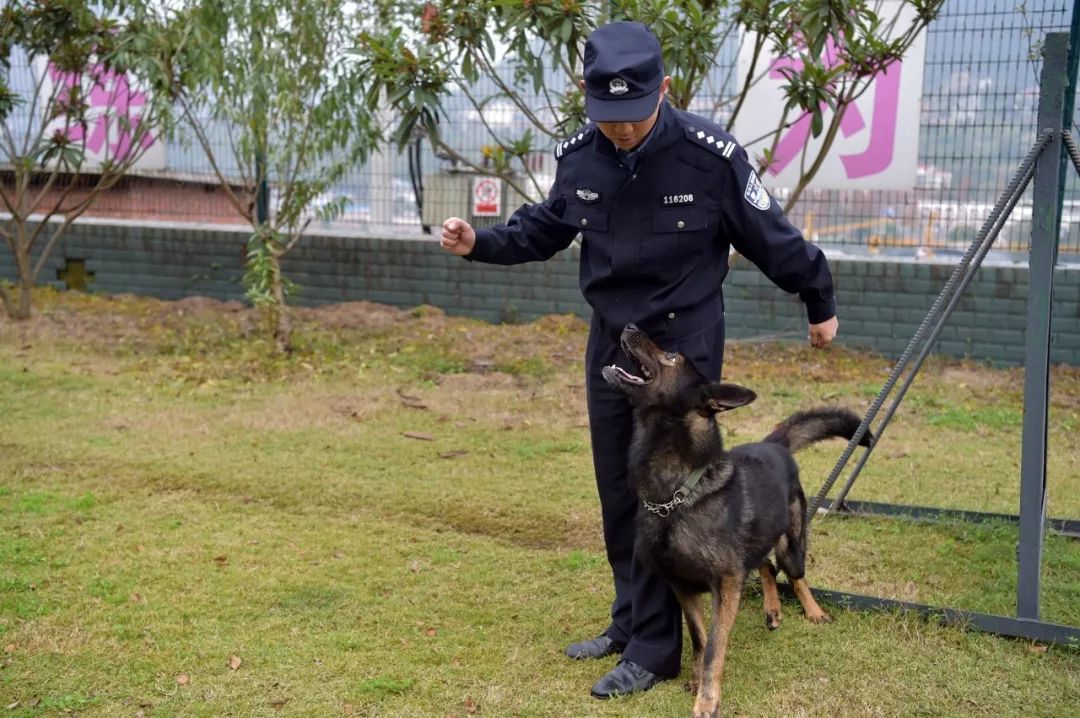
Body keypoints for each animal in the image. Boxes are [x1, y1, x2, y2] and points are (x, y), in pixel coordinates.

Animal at [604, 323, 872, 716]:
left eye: (672, 358)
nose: (630, 326)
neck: (678, 493)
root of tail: (775, 443)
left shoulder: (726, 584)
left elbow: (715, 645)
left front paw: (708, 700)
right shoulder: (683, 587)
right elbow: (699, 640)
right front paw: (698, 682)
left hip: (791, 544)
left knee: (794, 574)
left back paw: (813, 611)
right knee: (767, 567)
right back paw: (773, 610)